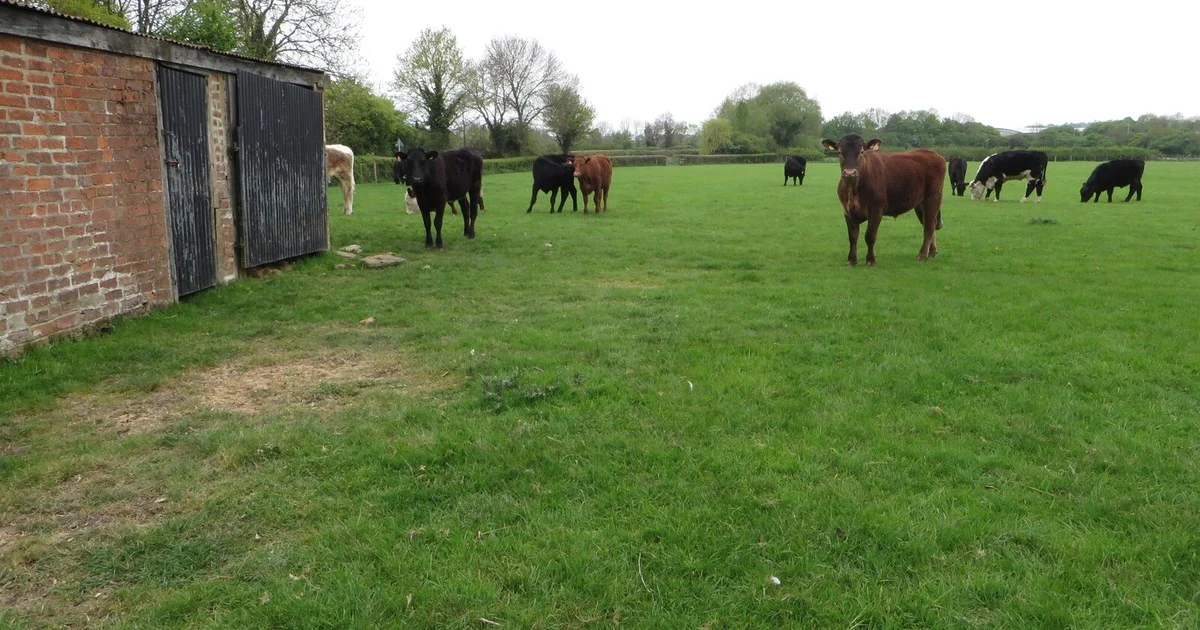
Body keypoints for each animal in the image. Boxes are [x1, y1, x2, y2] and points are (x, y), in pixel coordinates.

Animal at [820, 134, 945, 266]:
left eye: (862, 151)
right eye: (839, 152)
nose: (849, 173)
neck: (853, 191)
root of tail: (932, 153)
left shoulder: (876, 210)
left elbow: (870, 235)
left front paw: (871, 260)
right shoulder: (847, 211)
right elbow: (852, 237)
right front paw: (851, 260)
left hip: (933, 198)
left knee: (929, 226)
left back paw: (922, 255)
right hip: (920, 204)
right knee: (928, 223)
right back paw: (931, 252)